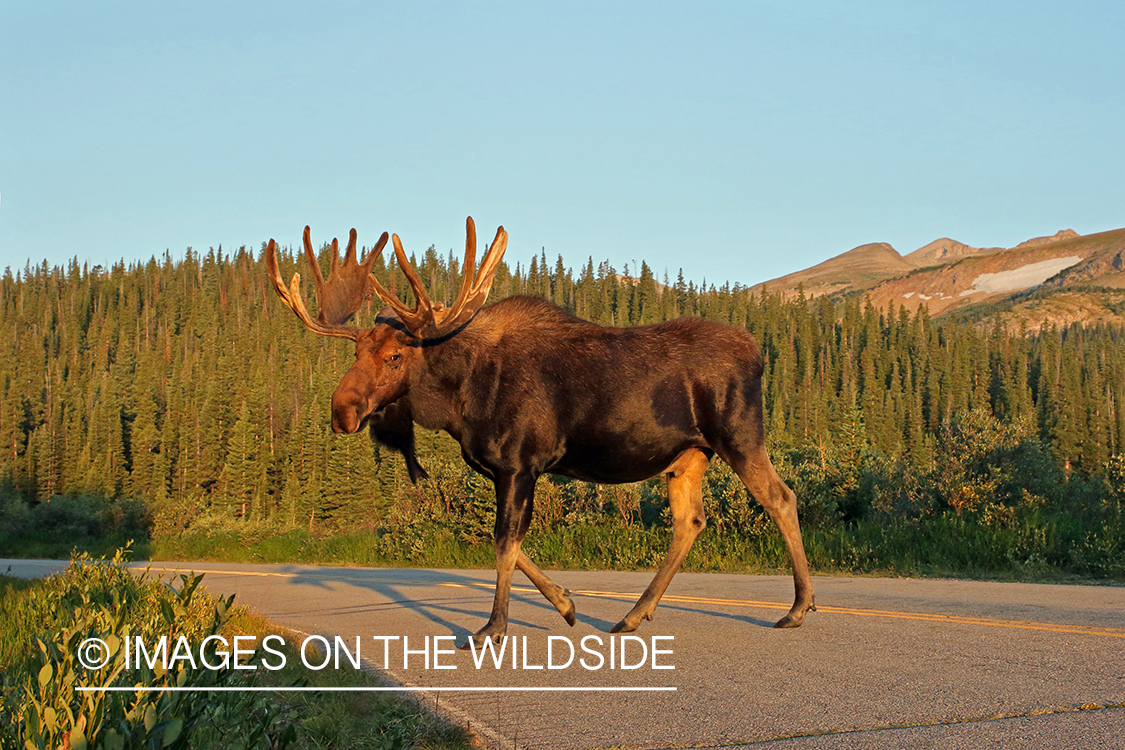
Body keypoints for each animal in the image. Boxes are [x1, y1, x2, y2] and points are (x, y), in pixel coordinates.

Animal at [270, 217, 819, 647]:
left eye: (395, 356)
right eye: (355, 351)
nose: (341, 411)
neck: (459, 398)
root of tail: (759, 354)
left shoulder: (519, 463)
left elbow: (504, 543)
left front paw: (493, 628)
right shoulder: (503, 469)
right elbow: (514, 545)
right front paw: (565, 603)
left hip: (739, 436)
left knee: (781, 498)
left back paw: (798, 607)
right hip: (688, 456)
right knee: (691, 522)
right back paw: (633, 614)